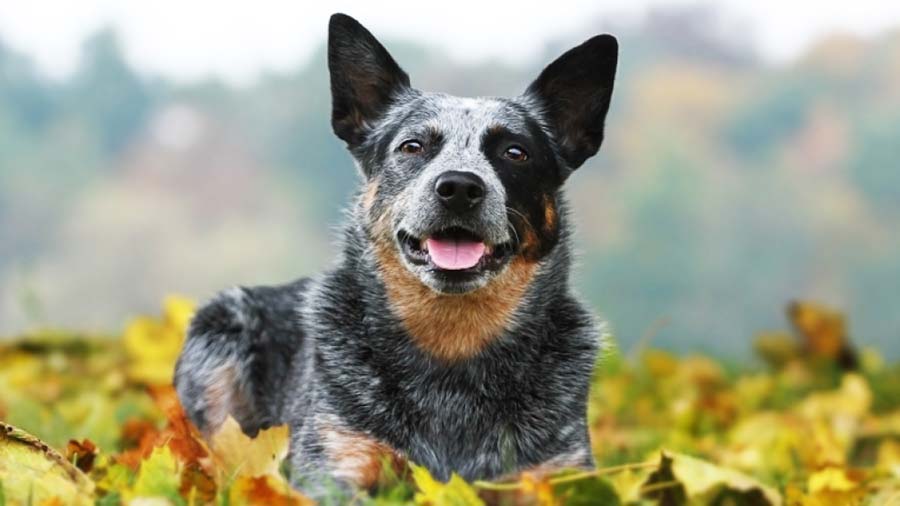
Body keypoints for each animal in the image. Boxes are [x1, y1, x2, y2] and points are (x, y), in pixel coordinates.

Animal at [172, 11, 616, 498]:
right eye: (413, 146)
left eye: (515, 152)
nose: (459, 186)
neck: (453, 347)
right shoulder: (335, 463)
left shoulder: (560, 473)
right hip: (220, 332)